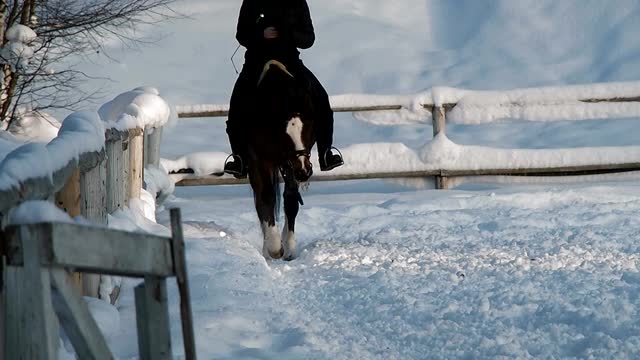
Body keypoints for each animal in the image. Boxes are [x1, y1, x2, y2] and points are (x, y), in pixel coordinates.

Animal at [245, 60, 316, 260]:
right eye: (285, 135)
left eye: (309, 129)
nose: (304, 171)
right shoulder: (260, 161)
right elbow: (266, 197)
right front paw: (275, 247)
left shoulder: (290, 165)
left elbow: (291, 200)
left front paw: (289, 247)